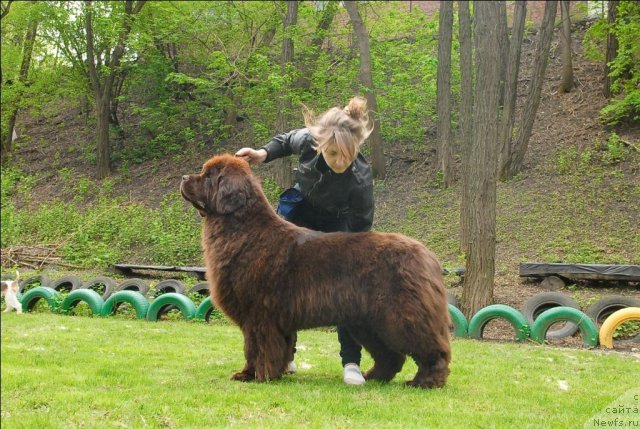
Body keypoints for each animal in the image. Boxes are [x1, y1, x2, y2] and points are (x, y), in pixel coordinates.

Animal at [180, 154, 450, 388]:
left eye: (208, 176)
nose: (183, 177)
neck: (244, 231)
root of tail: (427, 254)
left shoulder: (260, 312)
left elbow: (259, 346)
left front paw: (261, 376)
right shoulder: (261, 318)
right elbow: (256, 347)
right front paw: (252, 373)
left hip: (401, 316)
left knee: (432, 349)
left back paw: (425, 381)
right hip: (367, 322)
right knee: (390, 356)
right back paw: (373, 376)